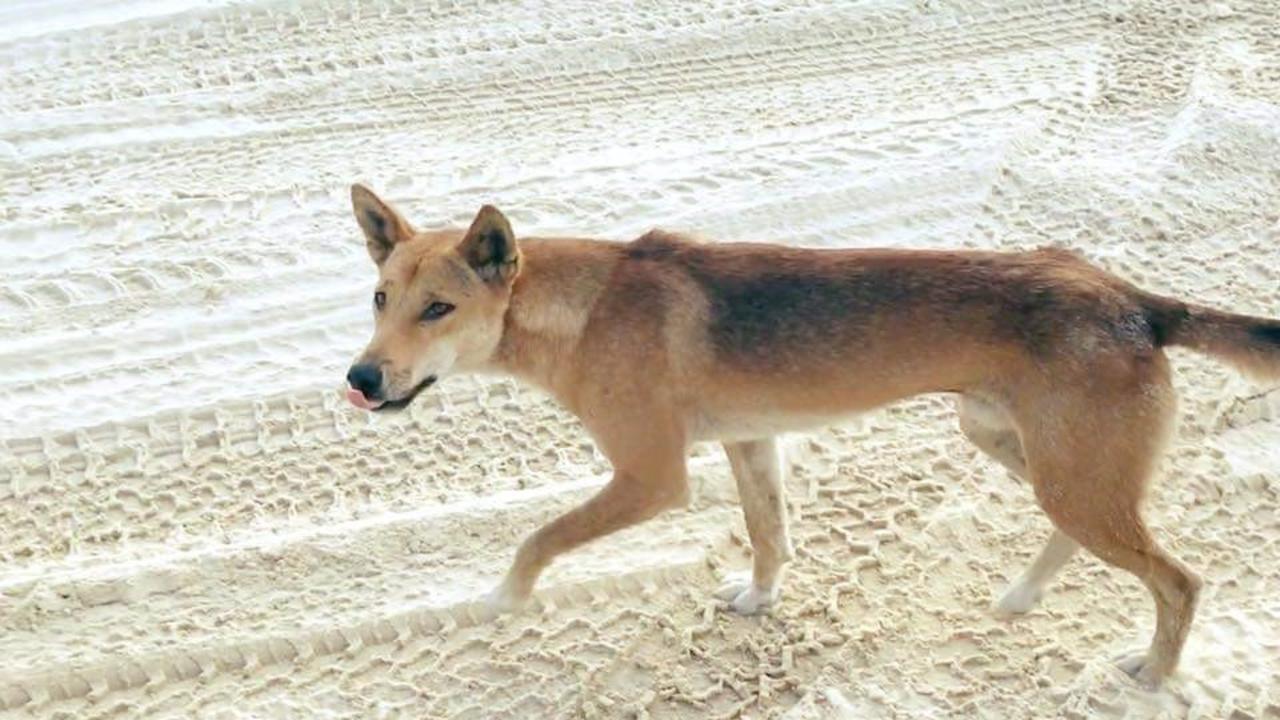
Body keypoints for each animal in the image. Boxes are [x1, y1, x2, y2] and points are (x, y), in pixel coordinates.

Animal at [343, 181, 1280, 681]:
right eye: (382, 299)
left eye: (438, 309)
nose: (361, 379)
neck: (579, 311)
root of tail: (1134, 298)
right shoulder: (749, 440)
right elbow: (768, 533)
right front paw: (761, 601)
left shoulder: (652, 478)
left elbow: (537, 538)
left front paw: (503, 600)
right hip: (1035, 457)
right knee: (1082, 535)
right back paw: (1022, 597)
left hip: (1072, 474)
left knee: (1179, 582)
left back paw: (1154, 675)